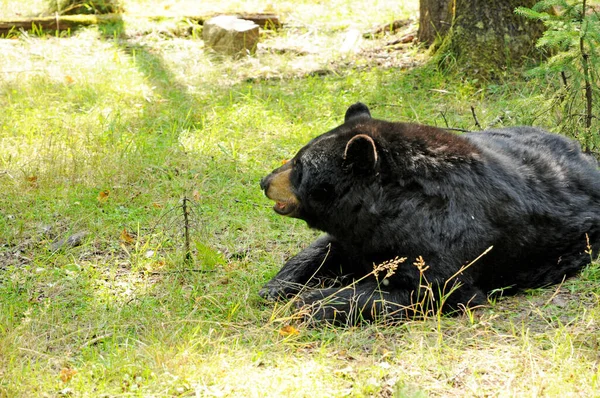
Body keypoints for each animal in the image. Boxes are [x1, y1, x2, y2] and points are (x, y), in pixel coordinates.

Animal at [260, 102, 600, 324]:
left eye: (299, 167)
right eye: (297, 157)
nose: (264, 182)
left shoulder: (447, 234)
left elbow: (432, 290)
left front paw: (313, 303)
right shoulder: (360, 232)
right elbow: (326, 249)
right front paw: (277, 286)